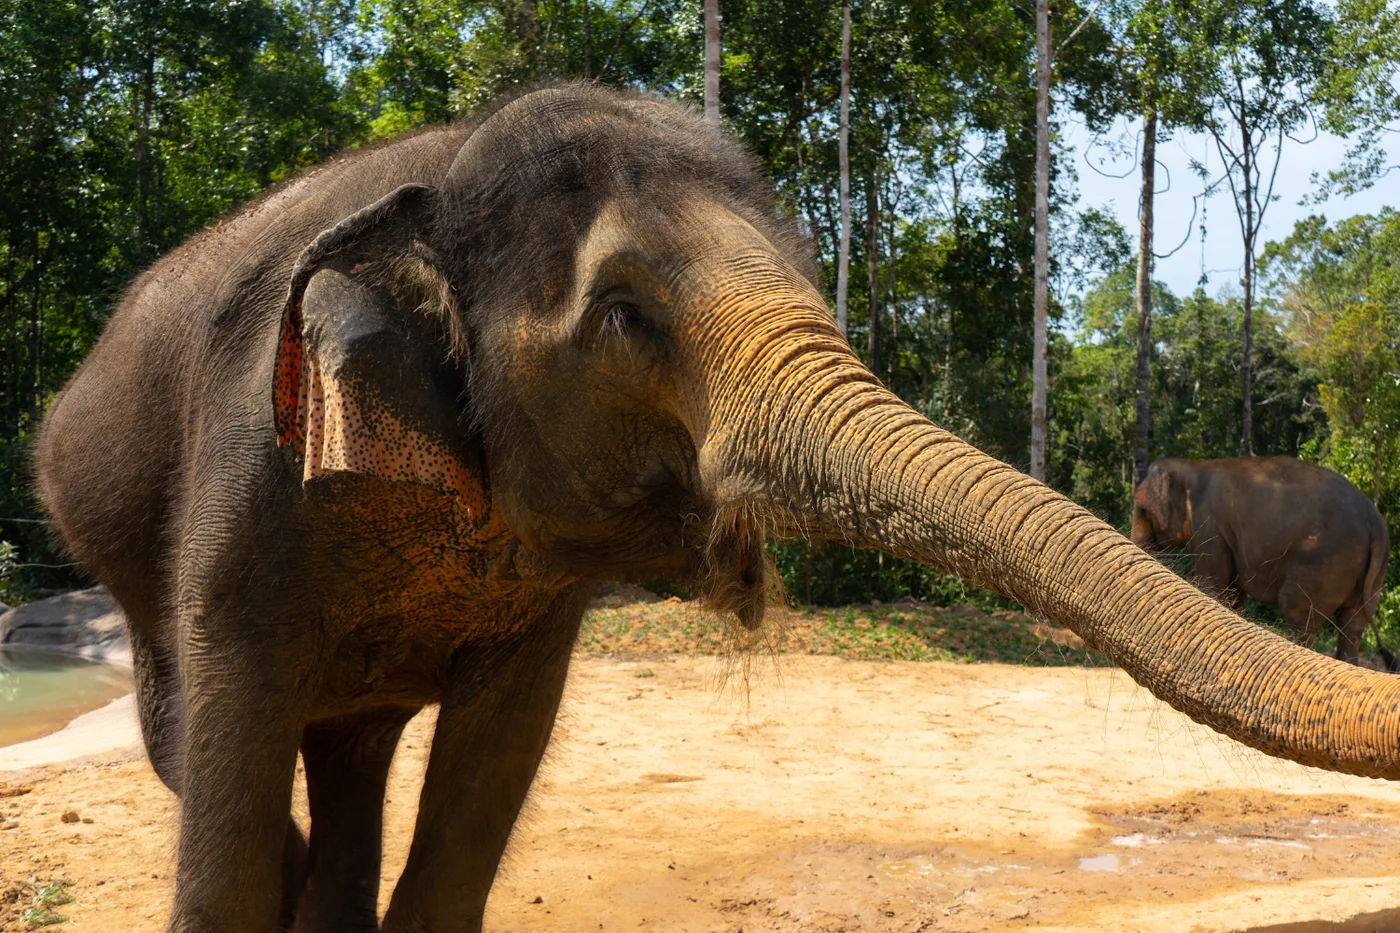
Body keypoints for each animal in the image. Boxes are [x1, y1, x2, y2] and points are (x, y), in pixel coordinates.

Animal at [1131, 456, 1390, 666]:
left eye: (1143, 510)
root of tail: (1374, 522)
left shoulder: (1209, 526)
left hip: (1323, 561)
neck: (1192, 467)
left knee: (1297, 612)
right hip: (1369, 574)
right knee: (1352, 626)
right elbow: (1233, 594)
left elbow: (1213, 584)